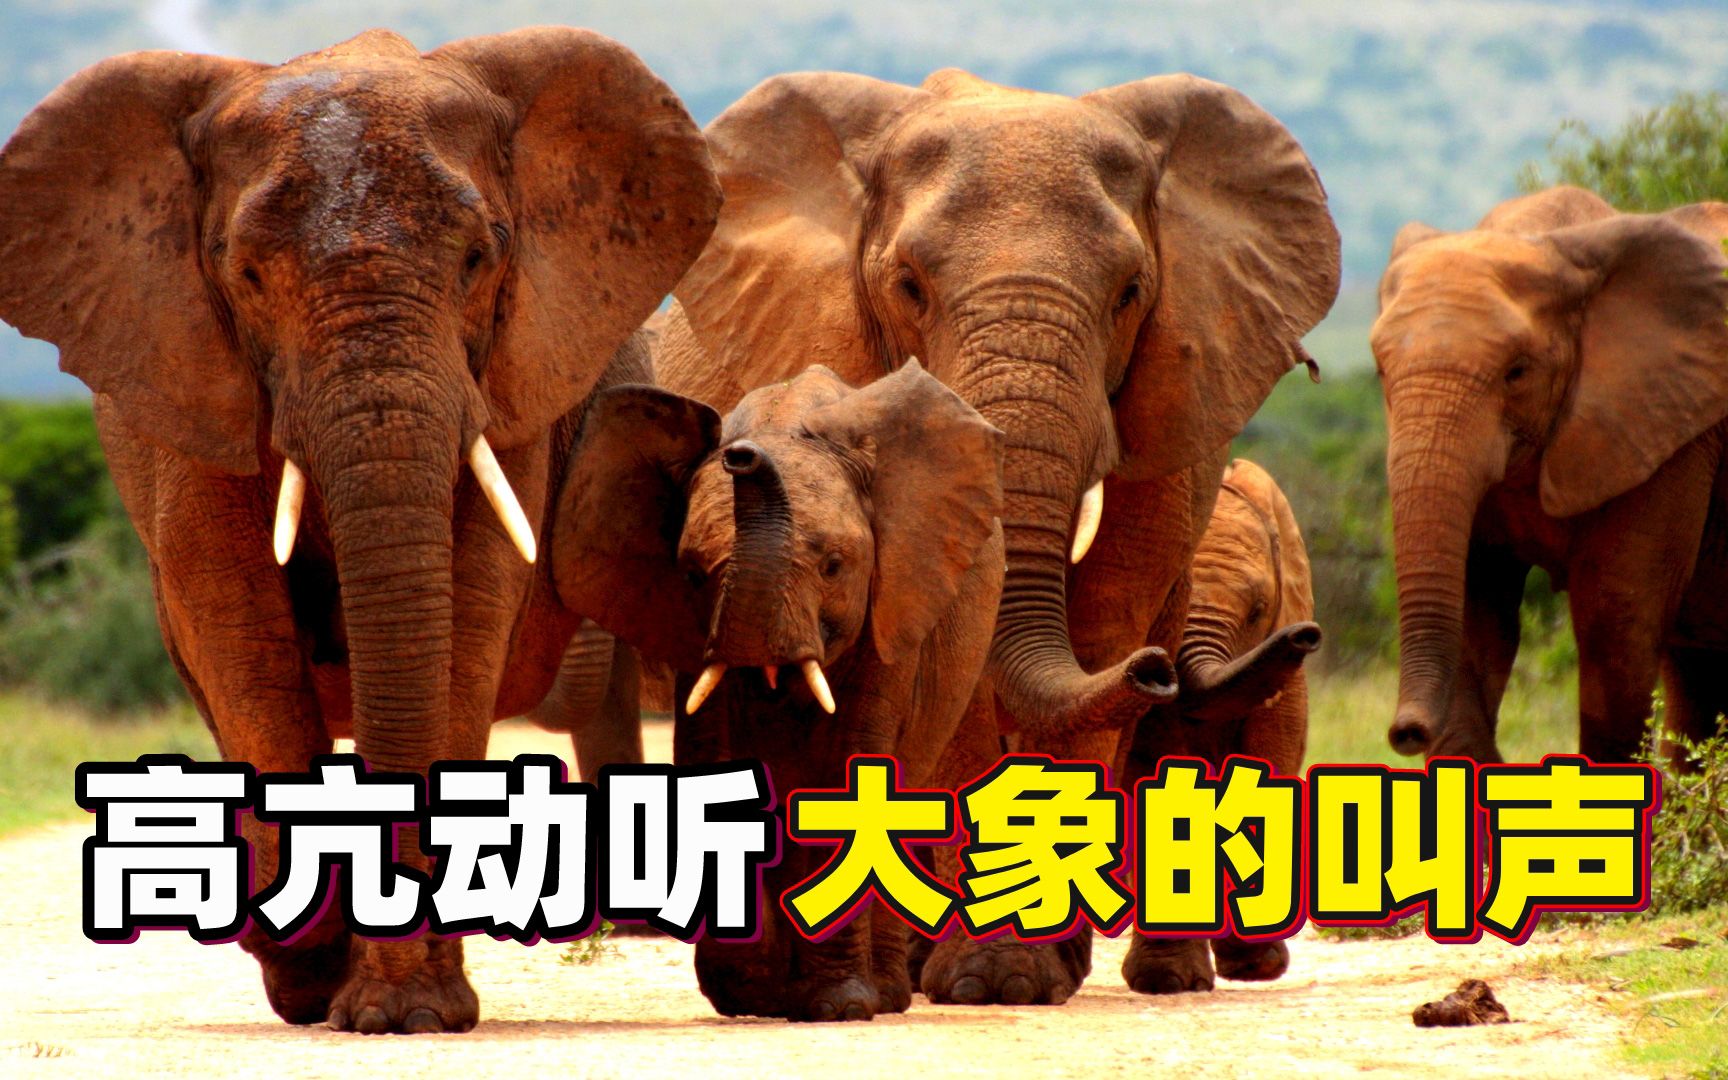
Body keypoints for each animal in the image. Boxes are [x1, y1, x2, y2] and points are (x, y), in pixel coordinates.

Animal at [0, 29, 720, 1032]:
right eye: (247, 276)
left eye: (478, 260)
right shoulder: (183, 384)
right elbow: (240, 629)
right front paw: (321, 977)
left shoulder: (512, 383)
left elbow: (463, 615)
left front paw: (409, 1012)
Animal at [550, 361, 1012, 1020]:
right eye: (692, 573)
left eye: (834, 566)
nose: (740, 455)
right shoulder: (694, 635)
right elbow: (716, 761)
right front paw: (748, 996)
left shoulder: (892, 610)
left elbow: (854, 767)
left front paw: (838, 1005)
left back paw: (886, 996)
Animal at [647, 68, 1339, 1001]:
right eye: (908, 286)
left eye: (1130, 292)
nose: (1158, 670)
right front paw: (989, 981)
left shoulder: (1181, 389)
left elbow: (1113, 600)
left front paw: (1020, 973)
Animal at [1374, 185, 1728, 765]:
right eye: (1380, 371)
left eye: (1516, 372)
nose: (1405, 733)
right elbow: (1476, 613)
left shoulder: (1668, 430)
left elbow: (1614, 618)